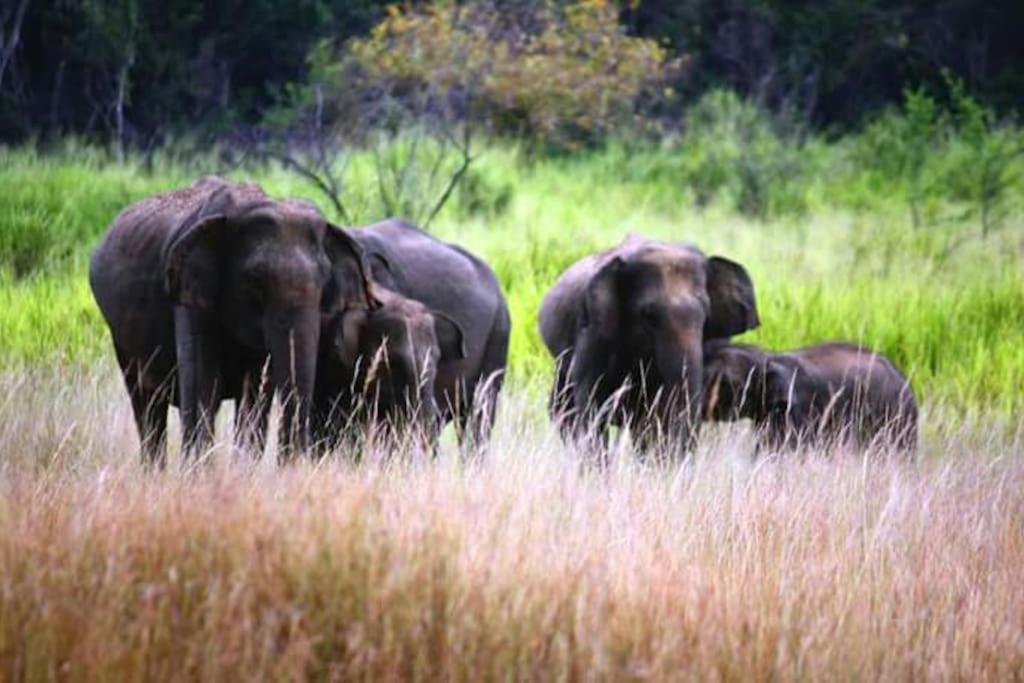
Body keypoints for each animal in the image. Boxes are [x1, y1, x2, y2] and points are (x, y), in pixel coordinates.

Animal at [89, 176, 376, 466]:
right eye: (256, 281)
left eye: (324, 281)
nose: (291, 464)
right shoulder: (189, 295)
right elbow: (202, 384)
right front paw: (200, 471)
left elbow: (255, 392)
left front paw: (242, 468)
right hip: (119, 336)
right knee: (147, 403)